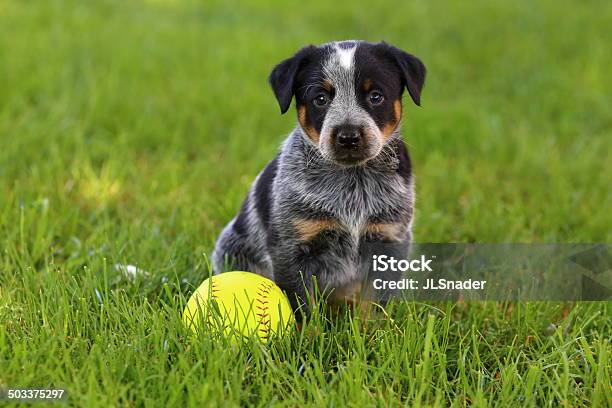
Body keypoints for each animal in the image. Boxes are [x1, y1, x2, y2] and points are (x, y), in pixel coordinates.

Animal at [210, 41, 426, 322]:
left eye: (376, 96)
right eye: (320, 99)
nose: (348, 137)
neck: (352, 183)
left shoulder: (390, 240)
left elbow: (374, 305)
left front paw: (372, 331)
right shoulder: (292, 246)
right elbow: (303, 307)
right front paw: (308, 333)